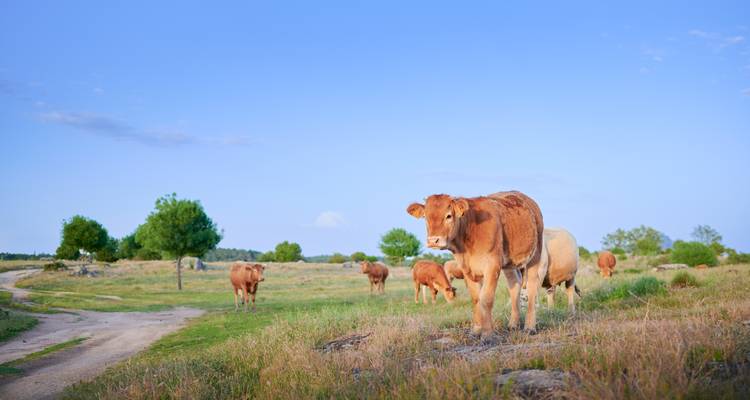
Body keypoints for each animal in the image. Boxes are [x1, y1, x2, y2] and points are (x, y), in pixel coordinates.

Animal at [407, 190, 544, 336]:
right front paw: (477, 330)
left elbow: (486, 299)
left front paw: (488, 334)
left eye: (448, 216)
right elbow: (476, 299)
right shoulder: (467, 269)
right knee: (515, 286)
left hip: (535, 255)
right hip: (509, 264)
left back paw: (529, 327)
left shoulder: (492, 266)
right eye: (425, 217)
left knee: (531, 288)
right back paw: (513, 324)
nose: (433, 240)